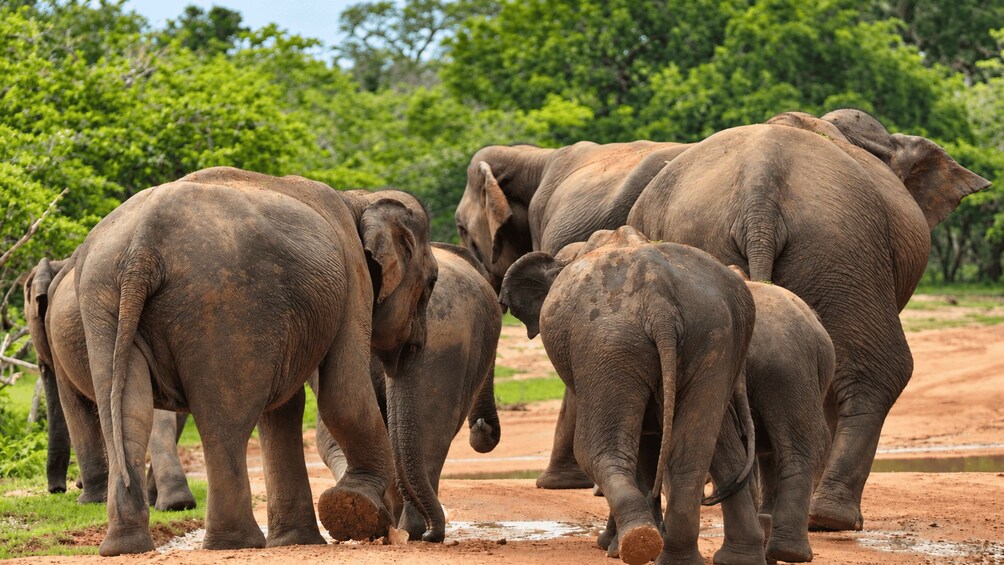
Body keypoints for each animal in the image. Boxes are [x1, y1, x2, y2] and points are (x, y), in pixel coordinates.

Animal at [67, 166, 437, 556]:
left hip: (101, 300)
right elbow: (342, 395)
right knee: (224, 421)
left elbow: (286, 408)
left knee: (128, 413)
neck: (359, 199)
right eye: (431, 283)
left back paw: (125, 547)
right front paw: (353, 512)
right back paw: (236, 543)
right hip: (226, 300)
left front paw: (298, 540)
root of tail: (142, 247)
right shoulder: (355, 281)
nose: (422, 534)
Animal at [500, 227, 763, 565]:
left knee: (597, 450)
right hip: (713, 336)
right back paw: (693, 557)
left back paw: (638, 543)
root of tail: (659, 301)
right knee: (694, 452)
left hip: (608, 341)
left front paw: (609, 545)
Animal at [626, 109, 989, 531]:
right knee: (883, 371)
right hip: (843, 248)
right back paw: (832, 519)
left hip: (775, 245)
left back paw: (765, 512)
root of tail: (759, 194)